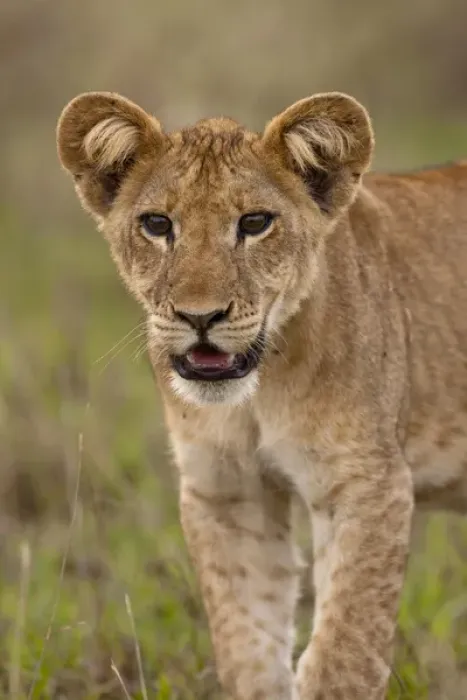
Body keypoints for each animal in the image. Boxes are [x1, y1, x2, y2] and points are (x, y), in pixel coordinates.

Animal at [57, 90, 467, 700]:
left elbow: (342, 656)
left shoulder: (368, 484)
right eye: (157, 224)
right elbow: (248, 647)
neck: (257, 396)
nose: (200, 317)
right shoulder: (228, 493)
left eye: (254, 223)